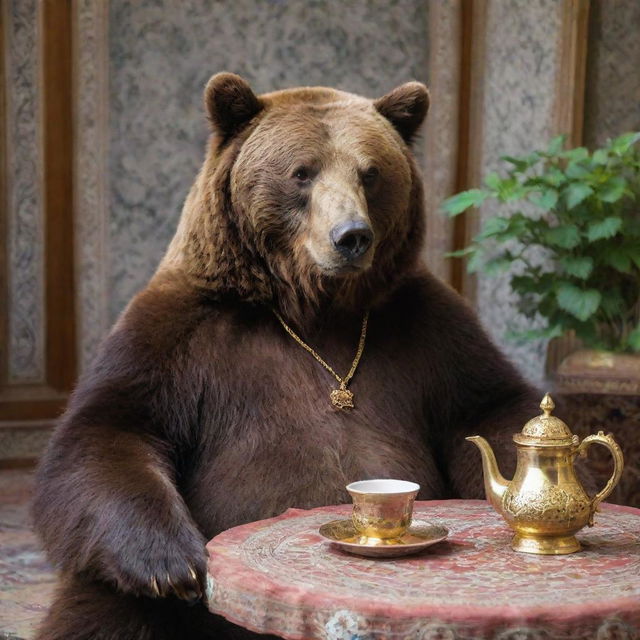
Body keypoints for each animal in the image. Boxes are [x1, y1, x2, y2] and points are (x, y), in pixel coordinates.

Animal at [32, 75, 536, 640]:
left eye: (370, 173)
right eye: (302, 172)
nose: (351, 236)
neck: (312, 308)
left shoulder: (429, 333)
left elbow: (489, 407)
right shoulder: (178, 339)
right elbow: (111, 428)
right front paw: (170, 564)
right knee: (99, 607)